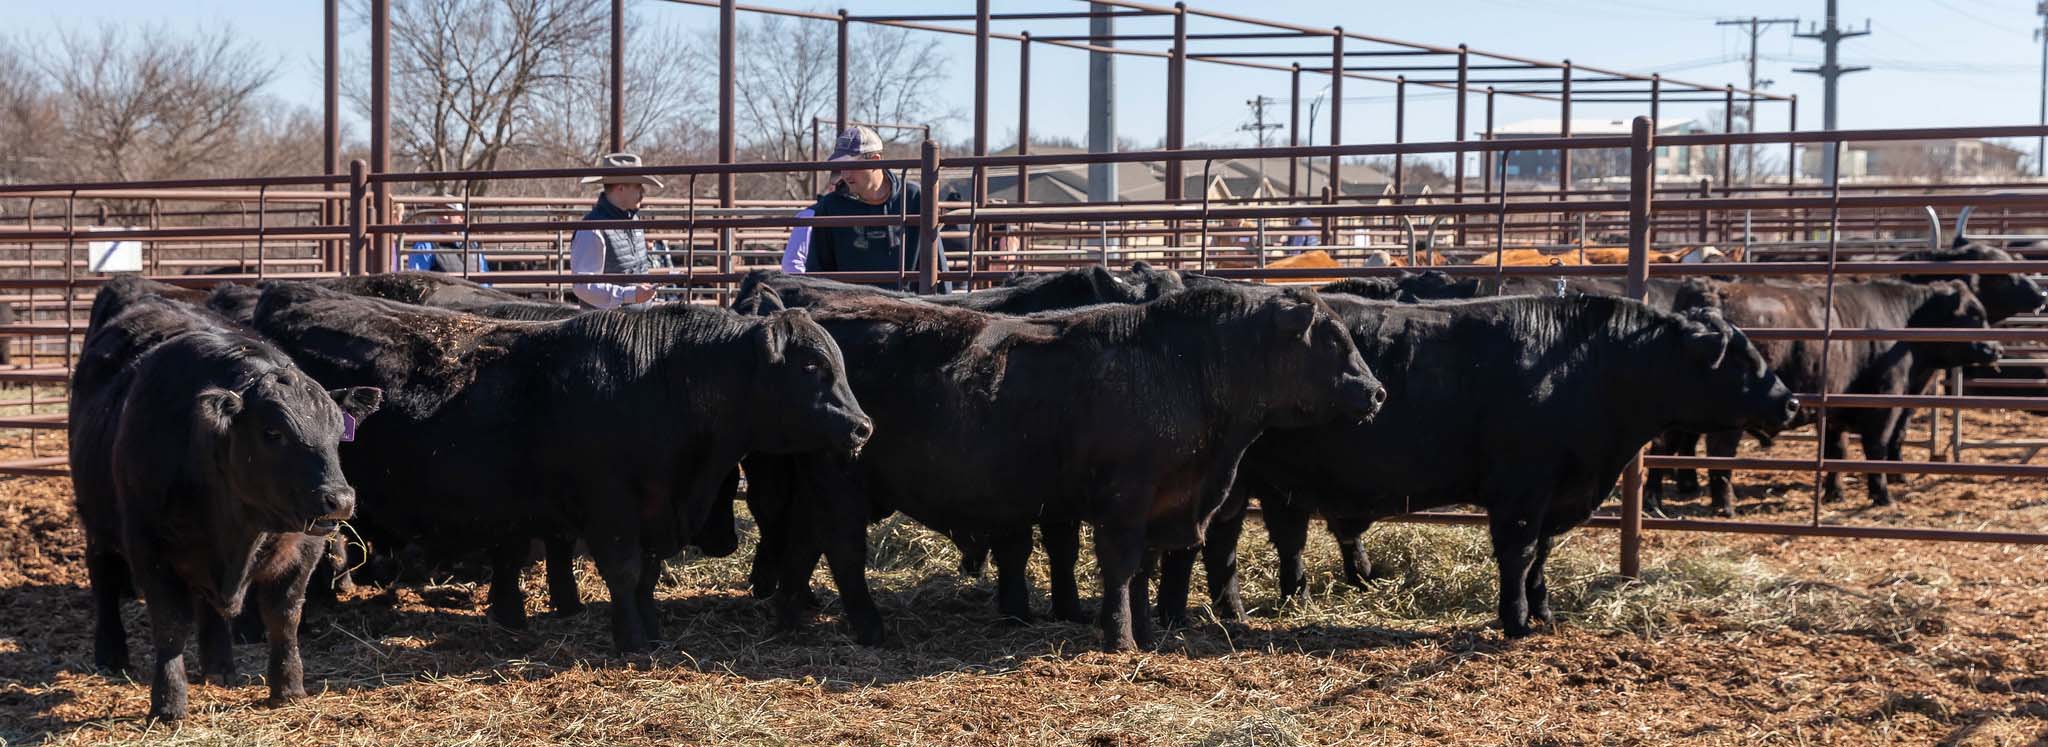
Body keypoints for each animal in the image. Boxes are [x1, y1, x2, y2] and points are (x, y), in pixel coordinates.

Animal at [70, 276, 383, 720]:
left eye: (340, 431)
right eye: (272, 432)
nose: (338, 499)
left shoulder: (303, 547)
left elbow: (284, 617)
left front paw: (288, 688)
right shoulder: (149, 547)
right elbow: (170, 626)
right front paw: (168, 703)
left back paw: (220, 666)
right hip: (96, 519)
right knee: (104, 576)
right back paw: (110, 653)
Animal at [245, 281, 871, 653]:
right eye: (812, 366)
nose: (864, 427)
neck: (663, 381)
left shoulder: (653, 508)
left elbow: (646, 574)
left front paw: (650, 630)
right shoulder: (610, 505)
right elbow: (623, 569)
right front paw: (631, 642)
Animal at [735, 281, 1385, 651]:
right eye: (1332, 339)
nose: (1376, 392)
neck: (1185, 366)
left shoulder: (1161, 504)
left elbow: (1143, 570)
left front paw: (1146, 631)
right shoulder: (1125, 500)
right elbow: (1121, 567)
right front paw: (1119, 637)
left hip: (822, 485)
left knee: (802, 542)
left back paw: (791, 616)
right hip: (843, 481)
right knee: (843, 551)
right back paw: (870, 629)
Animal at [1156, 291, 1800, 638]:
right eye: (1741, 359)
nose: (1790, 402)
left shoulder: (1557, 494)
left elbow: (1541, 555)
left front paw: (1543, 612)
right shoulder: (1521, 489)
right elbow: (1518, 552)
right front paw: (1514, 619)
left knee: (1247, 539)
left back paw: (1258, 605)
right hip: (1226, 480)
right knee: (1206, 542)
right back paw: (1199, 614)